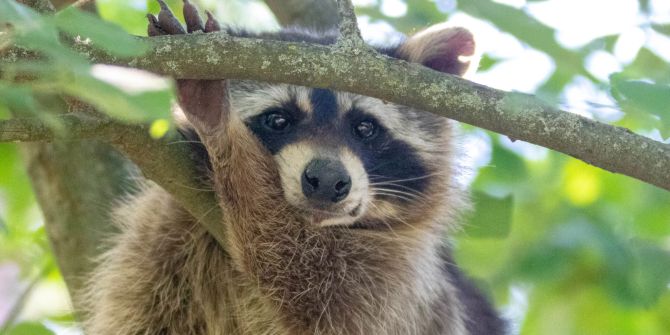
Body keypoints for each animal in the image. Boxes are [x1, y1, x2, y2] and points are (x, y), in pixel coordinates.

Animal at [82, 1, 504, 334]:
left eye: (365, 127)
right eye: (278, 120)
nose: (328, 180)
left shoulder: (404, 287)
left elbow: (315, 291)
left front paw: (223, 129)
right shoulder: (164, 238)